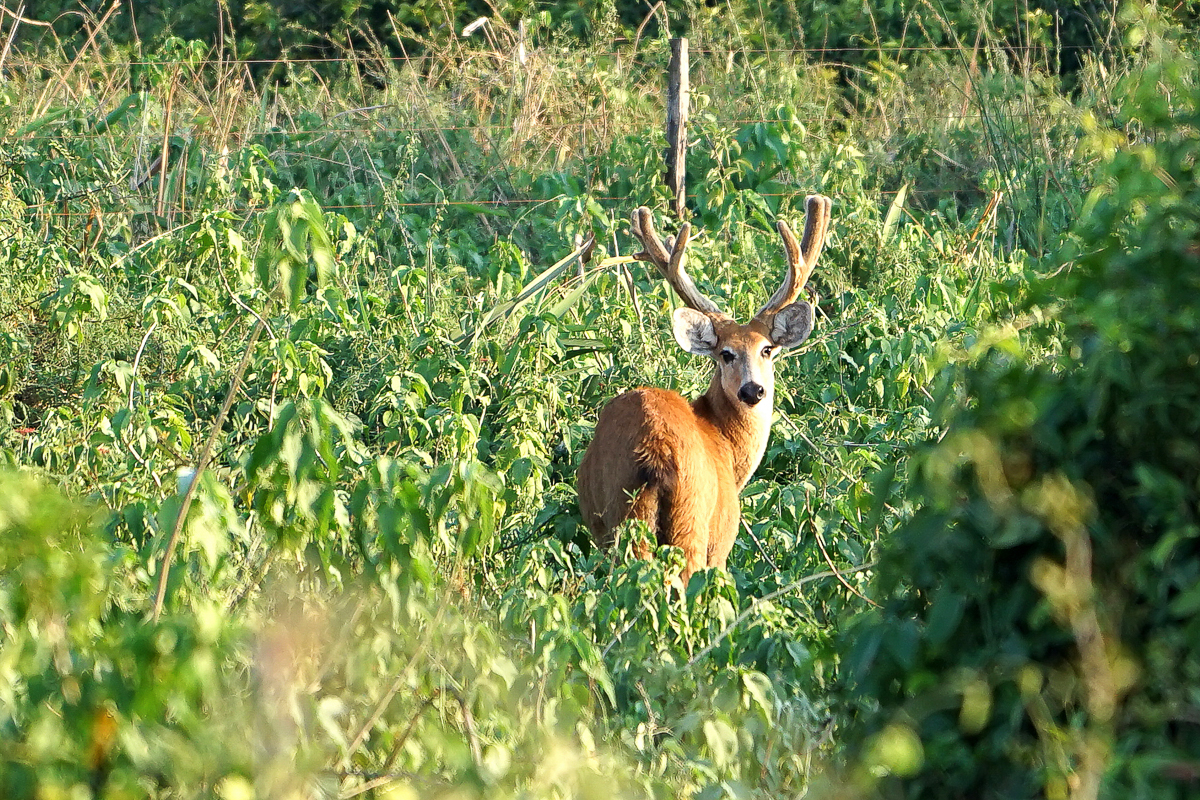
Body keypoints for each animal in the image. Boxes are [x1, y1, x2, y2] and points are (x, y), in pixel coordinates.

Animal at [576, 194, 830, 582]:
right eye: (725, 354)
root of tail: (657, 452)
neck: (724, 441)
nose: (752, 391)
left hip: (621, 517)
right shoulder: (723, 538)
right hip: (692, 517)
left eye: (766, 350)